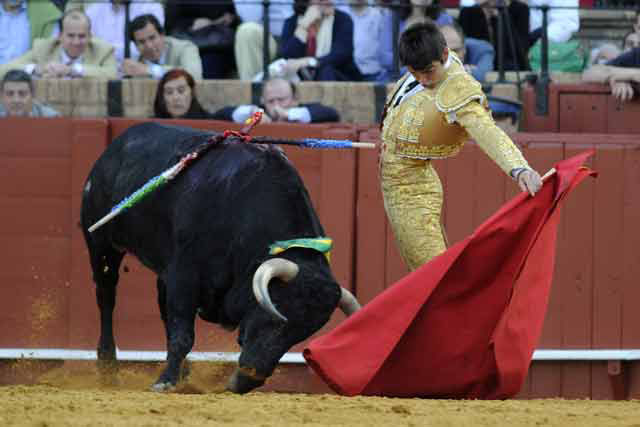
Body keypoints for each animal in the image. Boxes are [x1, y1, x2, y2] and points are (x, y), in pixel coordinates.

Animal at [80, 123, 360, 394]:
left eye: (300, 336)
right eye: (275, 315)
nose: (245, 383)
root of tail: (113, 149)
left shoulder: (178, 275)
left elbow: (176, 326)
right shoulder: (184, 274)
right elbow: (183, 334)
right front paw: (164, 382)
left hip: (162, 268)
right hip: (101, 244)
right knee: (106, 298)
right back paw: (109, 370)